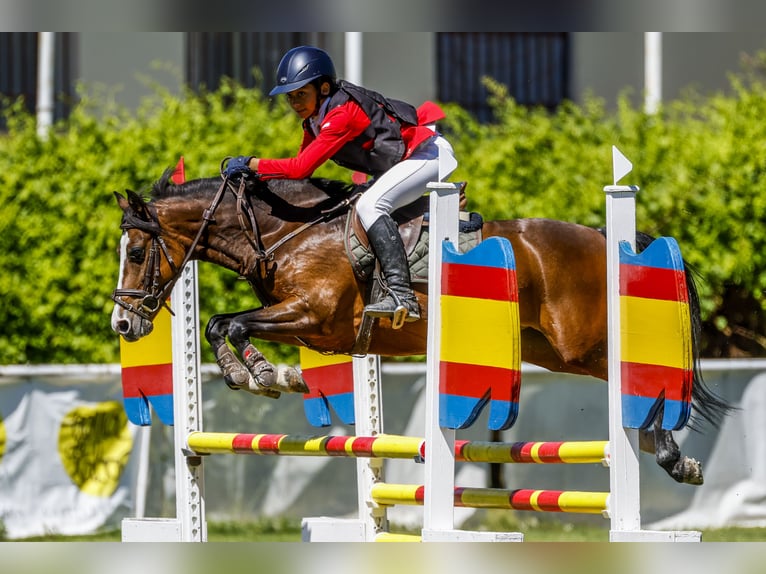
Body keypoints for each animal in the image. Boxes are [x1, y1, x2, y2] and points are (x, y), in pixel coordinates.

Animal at [112, 169, 732, 488]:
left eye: (137, 252)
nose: (123, 321)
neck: (284, 230)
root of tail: (607, 238)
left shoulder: (313, 315)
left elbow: (229, 325)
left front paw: (263, 375)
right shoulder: (317, 330)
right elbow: (224, 326)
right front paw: (280, 376)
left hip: (581, 340)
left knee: (642, 379)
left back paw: (672, 456)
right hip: (555, 350)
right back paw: (669, 455)